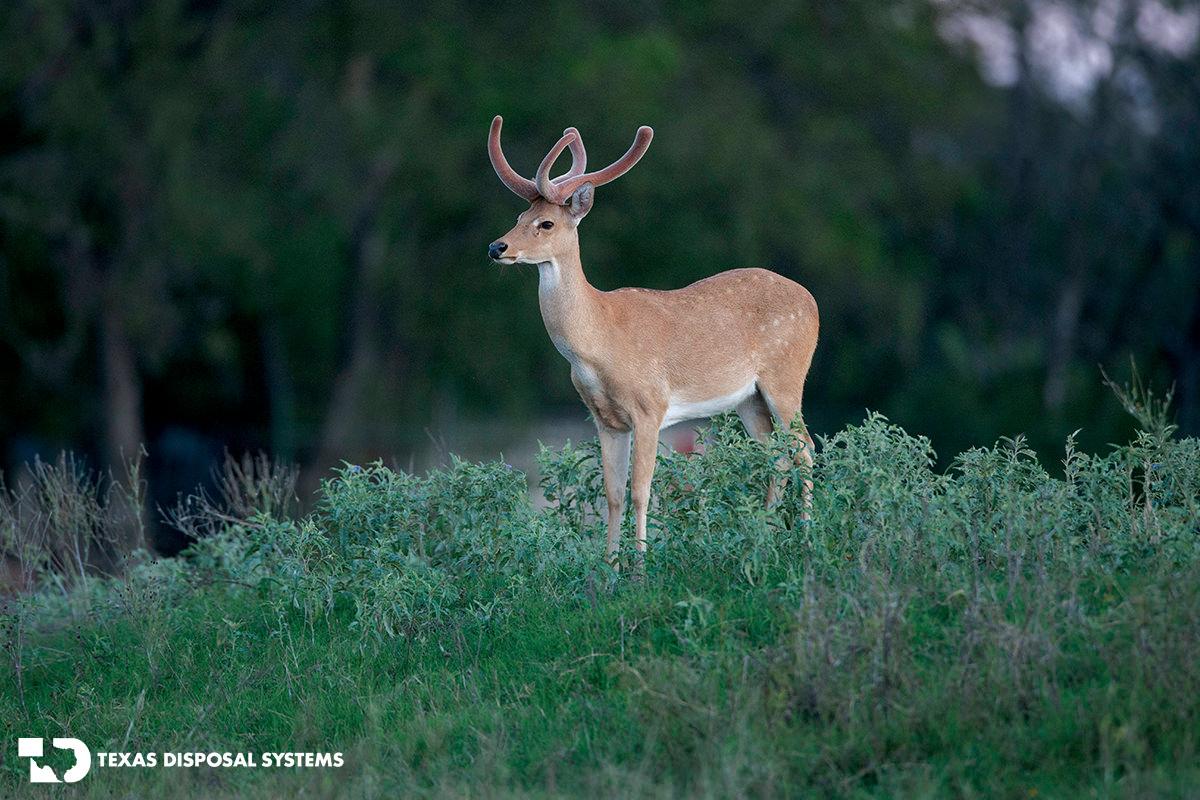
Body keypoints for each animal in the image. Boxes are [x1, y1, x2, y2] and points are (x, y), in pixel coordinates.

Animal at [484, 117, 816, 568]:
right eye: (520, 215)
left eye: (546, 223)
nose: (496, 246)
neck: (598, 342)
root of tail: (812, 301)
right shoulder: (605, 419)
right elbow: (613, 495)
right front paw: (607, 569)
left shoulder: (650, 408)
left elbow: (642, 492)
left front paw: (640, 567)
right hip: (749, 398)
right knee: (776, 454)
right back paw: (763, 538)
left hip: (786, 377)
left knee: (805, 448)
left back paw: (807, 540)